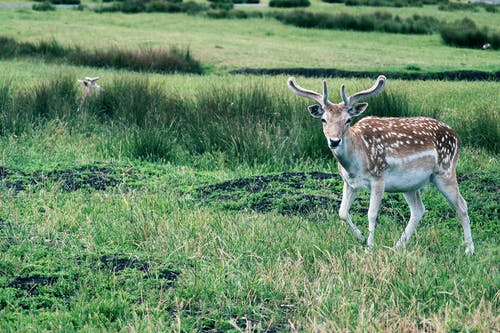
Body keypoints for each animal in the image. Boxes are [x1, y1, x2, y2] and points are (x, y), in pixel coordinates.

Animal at [288, 75, 474, 254]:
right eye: (323, 120)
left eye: (348, 120)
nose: (334, 141)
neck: (356, 162)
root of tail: (457, 136)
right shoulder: (349, 182)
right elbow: (342, 212)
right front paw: (361, 237)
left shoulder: (378, 178)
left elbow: (371, 213)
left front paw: (369, 248)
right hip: (409, 185)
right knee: (419, 210)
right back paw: (398, 246)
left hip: (446, 171)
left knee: (462, 206)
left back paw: (469, 249)